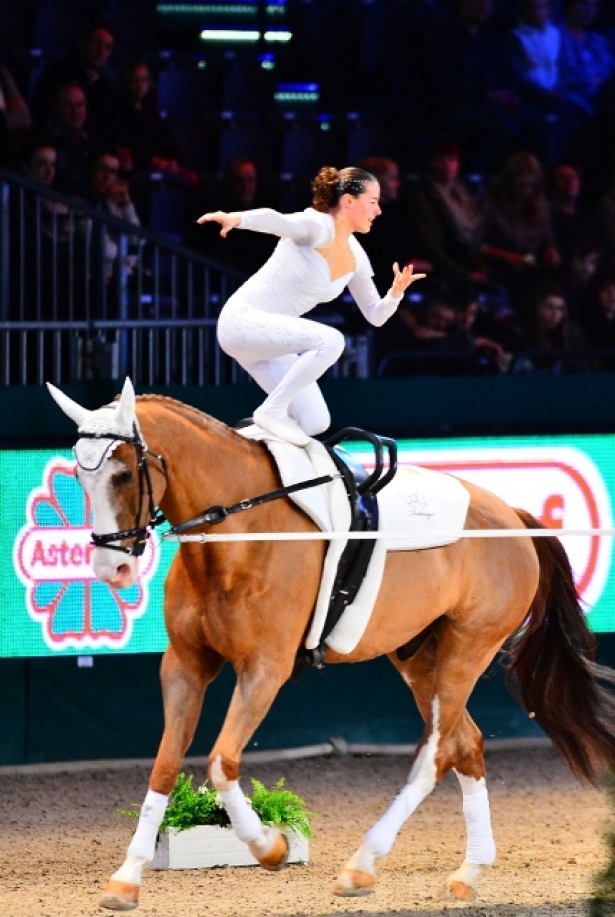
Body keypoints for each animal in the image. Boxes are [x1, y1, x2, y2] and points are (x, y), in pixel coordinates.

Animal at [45, 380, 615, 908]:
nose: (112, 569)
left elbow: (222, 761)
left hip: (467, 649)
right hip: (418, 656)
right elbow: (165, 765)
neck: (237, 533)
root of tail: (513, 518)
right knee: (464, 745)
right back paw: (468, 871)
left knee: (434, 754)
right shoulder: (184, 664)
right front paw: (126, 878)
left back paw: (361, 865)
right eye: (79, 476)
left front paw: (270, 847)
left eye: (122, 474)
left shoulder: (265, 668)